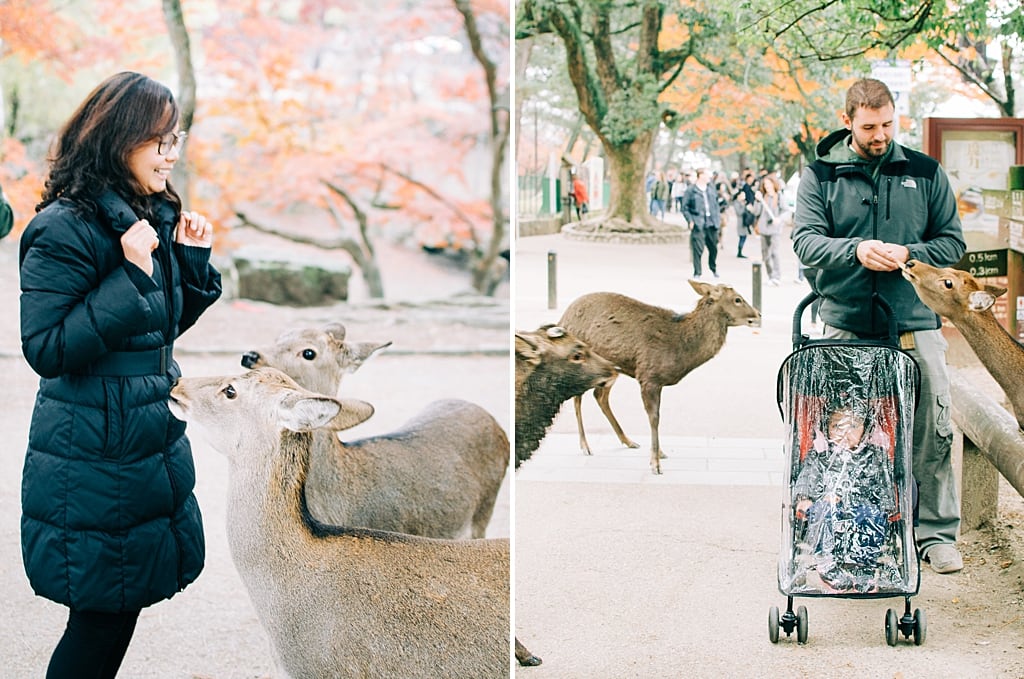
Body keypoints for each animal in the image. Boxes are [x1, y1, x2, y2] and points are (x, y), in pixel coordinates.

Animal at [557, 280, 765, 473]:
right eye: (738, 299)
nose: (758, 315)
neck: (681, 347)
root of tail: (562, 320)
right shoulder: (648, 376)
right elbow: (654, 418)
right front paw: (655, 464)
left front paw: (659, 453)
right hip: (581, 361)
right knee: (577, 398)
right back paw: (585, 446)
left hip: (610, 369)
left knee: (599, 396)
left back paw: (628, 441)